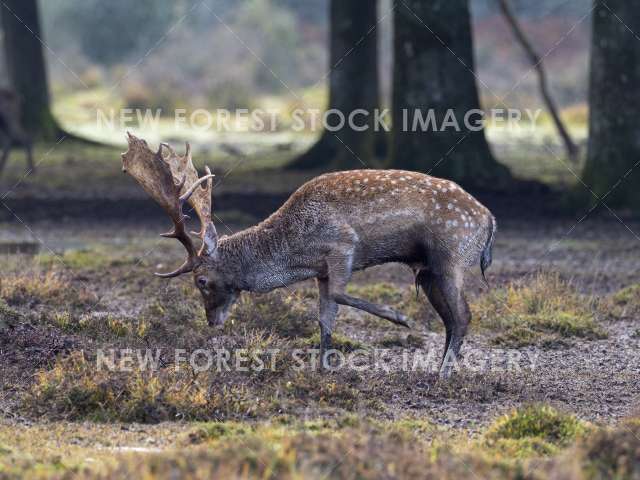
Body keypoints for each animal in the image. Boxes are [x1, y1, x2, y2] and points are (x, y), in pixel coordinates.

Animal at [122, 133, 498, 376]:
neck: (296, 253)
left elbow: (340, 294)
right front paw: (323, 369)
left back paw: (443, 374)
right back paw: (438, 368)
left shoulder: (343, 246)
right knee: (451, 319)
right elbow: (325, 317)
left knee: (463, 315)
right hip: (429, 270)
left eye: (201, 280)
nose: (211, 320)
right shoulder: (321, 270)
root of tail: (489, 219)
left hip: (452, 256)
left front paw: (399, 317)